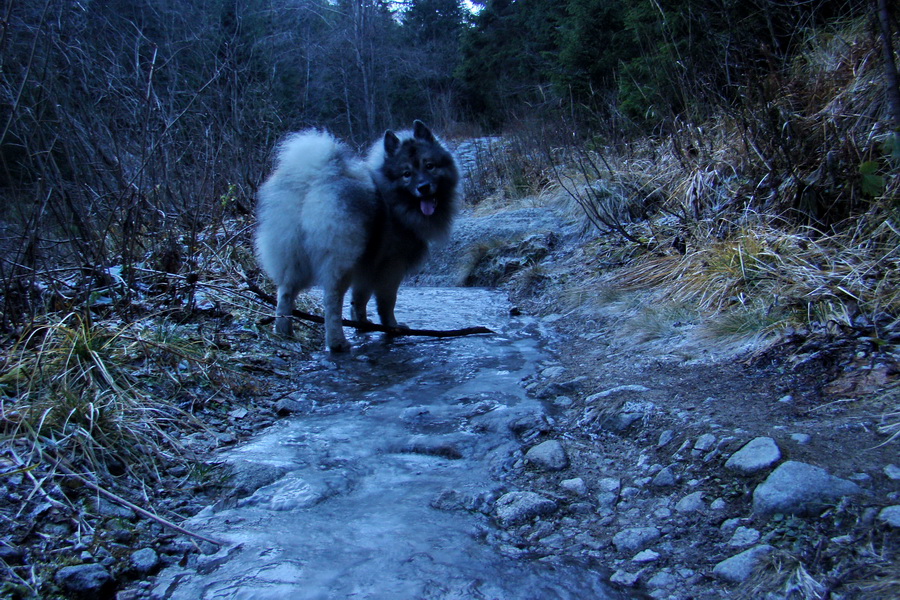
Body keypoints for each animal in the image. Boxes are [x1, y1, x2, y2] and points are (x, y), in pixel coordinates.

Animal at [256, 119, 460, 350]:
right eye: (406, 174)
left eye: (430, 166)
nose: (423, 187)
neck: (394, 200)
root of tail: (314, 181)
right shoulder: (391, 266)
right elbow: (386, 302)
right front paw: (392, 327)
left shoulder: (367, 266)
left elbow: (359, 299)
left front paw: (362, 325)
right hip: (341, 260)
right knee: (332, 300)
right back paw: (337, 342)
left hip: (293, 256)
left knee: (285, 292)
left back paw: (283, 330)